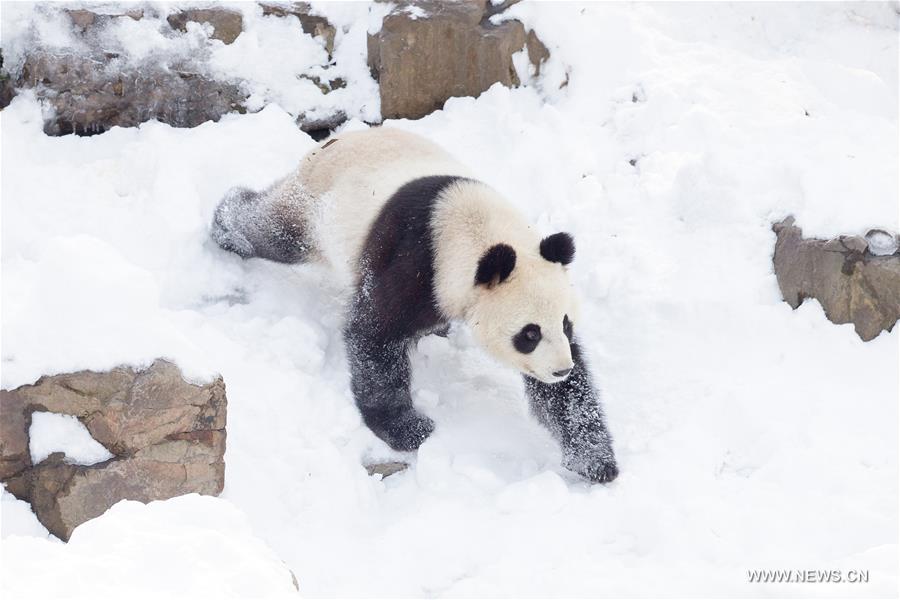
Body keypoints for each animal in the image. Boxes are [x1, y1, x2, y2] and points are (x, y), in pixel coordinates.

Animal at [211, 126, 620, 482]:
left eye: (565, 324)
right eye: (529, 334)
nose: (560, 369)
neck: (476, 234)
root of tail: (333, 139)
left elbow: (566, 397)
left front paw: (594, 459)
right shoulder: (416, 259)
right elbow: (374, 334)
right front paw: (409, 428)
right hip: (314, 207)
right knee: (274, 233)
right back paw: (227, 224)